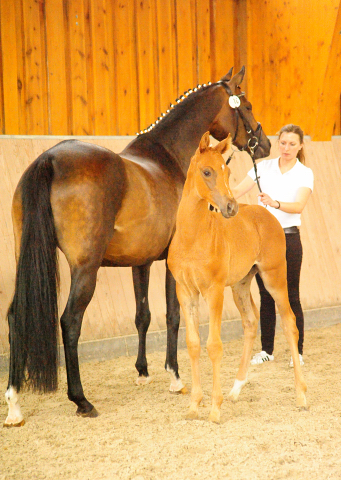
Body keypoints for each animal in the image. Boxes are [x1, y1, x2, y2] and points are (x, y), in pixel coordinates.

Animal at [3, 65, 270, 426]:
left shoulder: (139, 262)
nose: (265, 144)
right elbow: (173, 316)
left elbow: (142, 314)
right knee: (70, 321)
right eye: (248, 105)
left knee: (15, 317)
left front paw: (142, 372)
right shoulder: (173, 266)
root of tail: (50, 159)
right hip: (85, 269)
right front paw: (175, 377)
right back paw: (81, 400)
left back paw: (14, 403)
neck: (169, 157)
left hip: (25, 260)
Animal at [167, 132, 306, 424]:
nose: (230, 207)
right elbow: (193, 344)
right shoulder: (185, 292)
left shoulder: (214, 290)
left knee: (290, 322)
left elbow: (214, 346)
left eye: (227, 171)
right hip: (241, 285)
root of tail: (268, 214)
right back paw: (236, 389)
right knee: (251, 322)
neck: (192, 236)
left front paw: (215, 408)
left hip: (274, 278)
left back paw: (301, 394)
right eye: (207, 171)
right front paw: (194, 405)